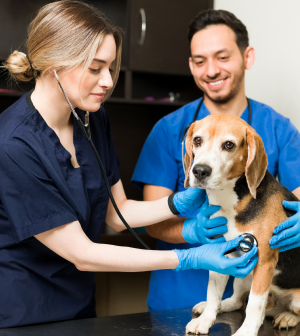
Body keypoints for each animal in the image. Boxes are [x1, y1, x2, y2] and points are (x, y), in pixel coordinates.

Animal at [184, 114, 300, 334]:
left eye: (229, 145)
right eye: (197, 140)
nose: (200, 171)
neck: (230, 202)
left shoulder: (264, 261)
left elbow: (254, 304)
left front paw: (246, 331)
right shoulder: (218, 255)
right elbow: (213, 293)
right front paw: (205, 319)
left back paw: (287, 317)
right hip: (243, 274)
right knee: (237, 301)